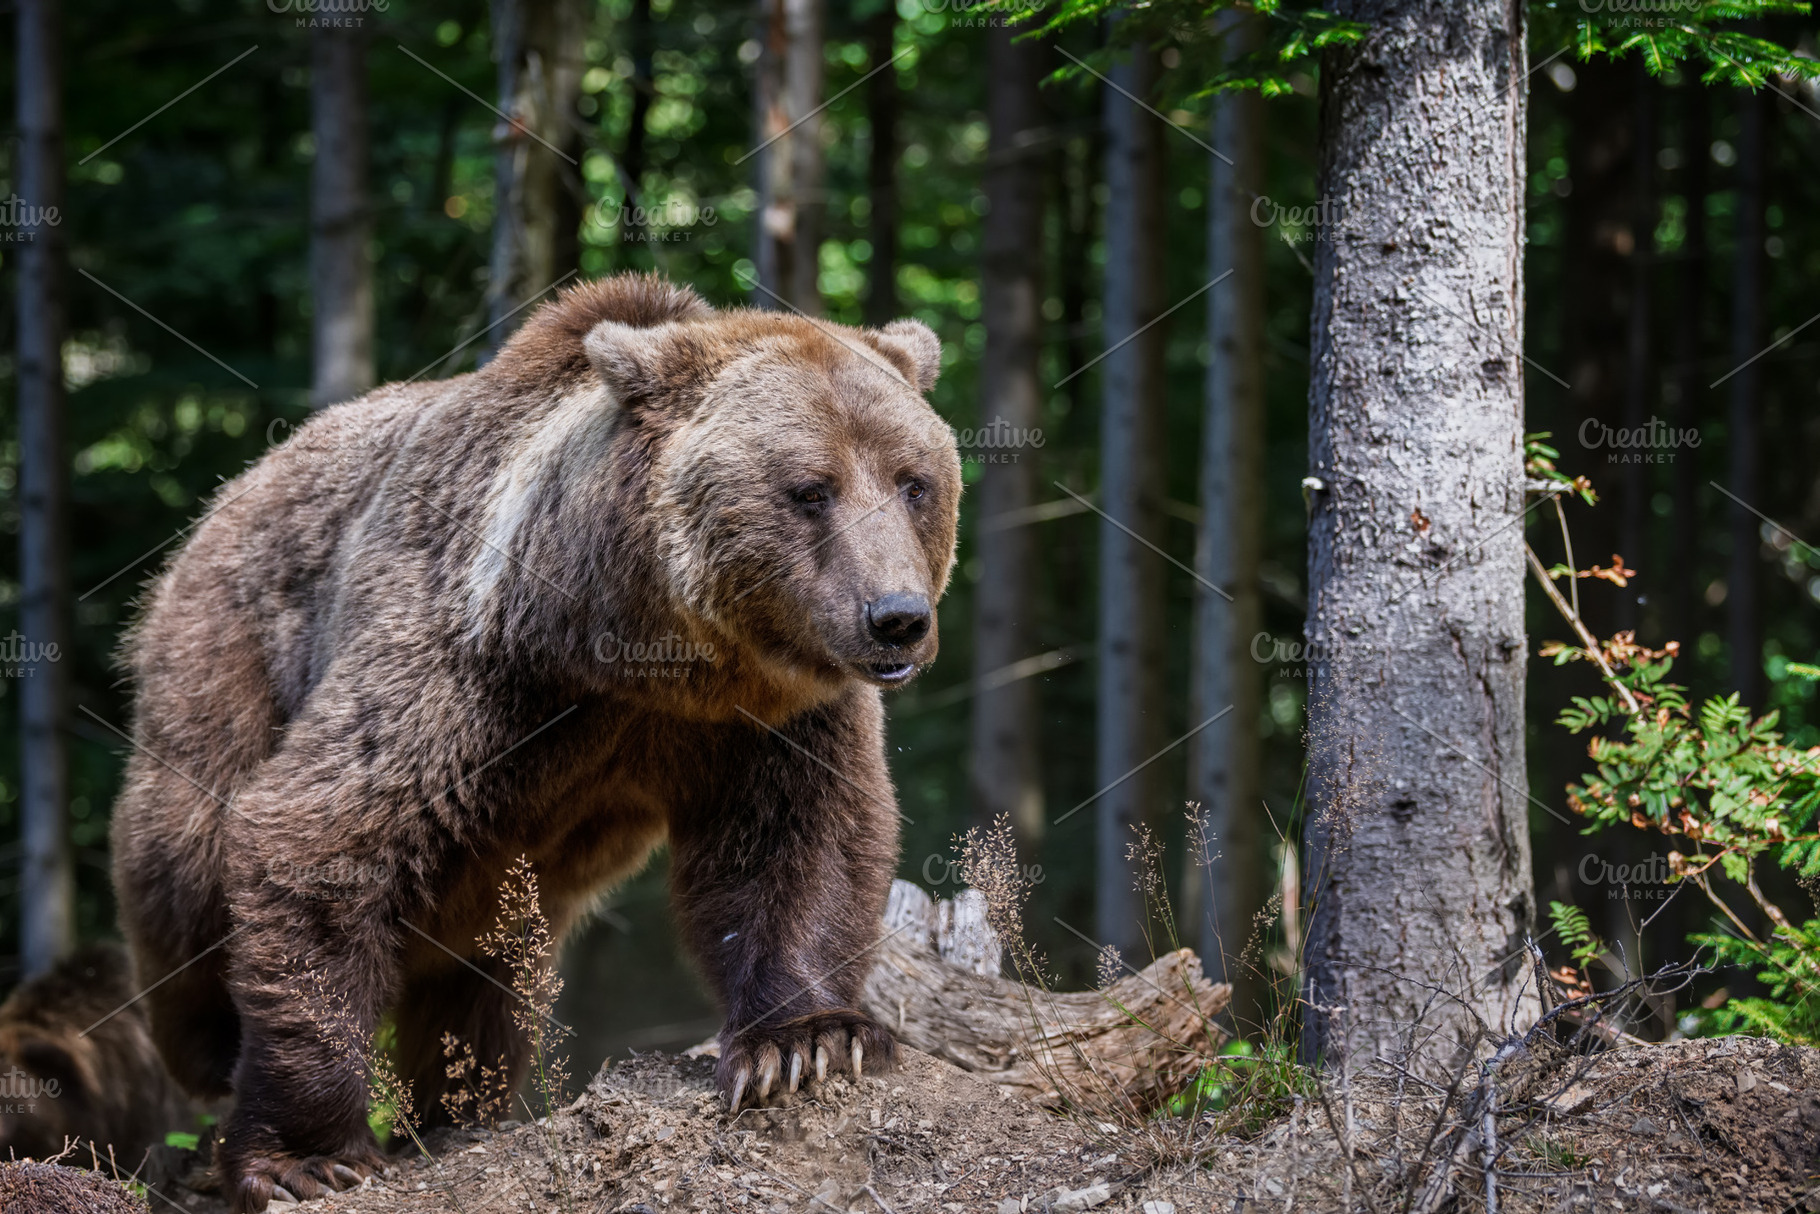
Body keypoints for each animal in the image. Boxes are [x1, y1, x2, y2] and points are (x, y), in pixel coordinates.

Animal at [108, 273, 961, 1212]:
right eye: (811, 488)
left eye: (914, 482)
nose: (895, 617)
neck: (639, 654)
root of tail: (221, 503)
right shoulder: (471, 674)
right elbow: (322, 835)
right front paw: (311, 1155)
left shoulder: (773, 718)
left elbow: (802, 843)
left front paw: (806, 1043)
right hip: (230, 656)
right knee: (185, 866)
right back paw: (212, 1050)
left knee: (485, 972)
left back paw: (464, 1105)